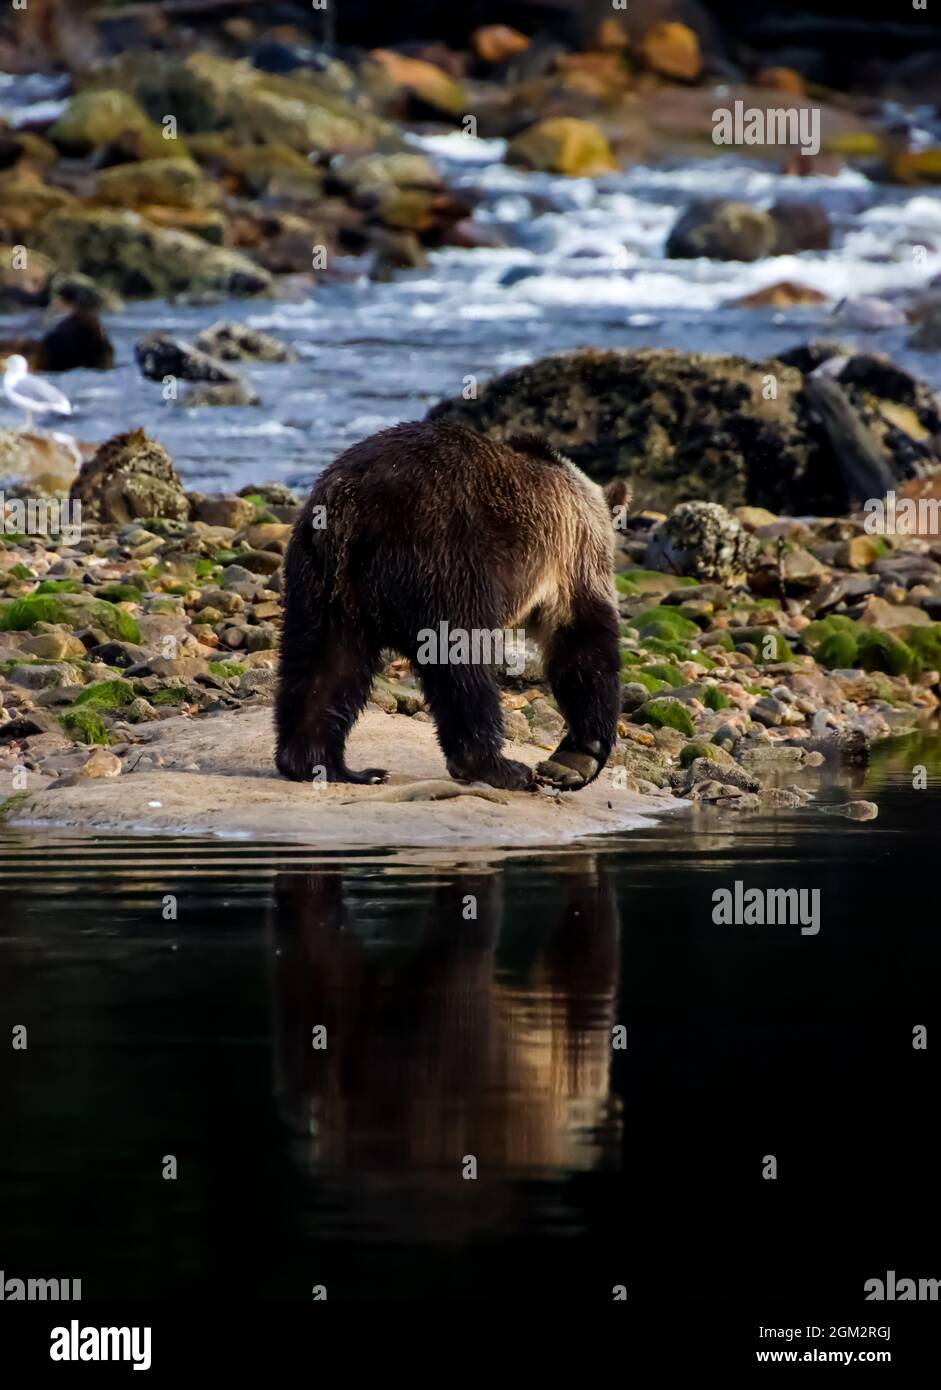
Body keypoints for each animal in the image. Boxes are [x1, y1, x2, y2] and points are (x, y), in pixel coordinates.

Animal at [275, 420, 629, 791]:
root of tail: (352, 501)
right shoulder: (571, 551)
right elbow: (583, 641)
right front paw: (577, 759)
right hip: (446, 557)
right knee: (463, 660)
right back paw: (499, 766)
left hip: (322, 582)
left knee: (324, 662)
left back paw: (331, 766)